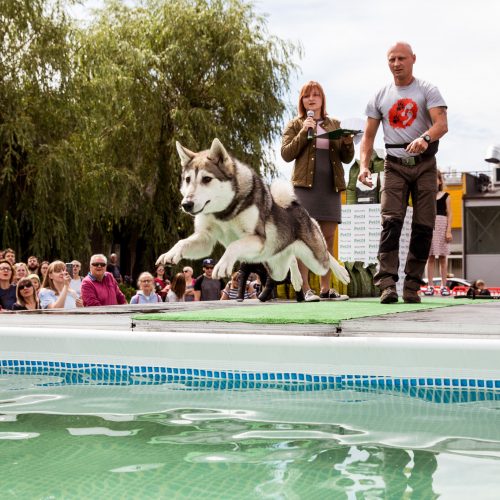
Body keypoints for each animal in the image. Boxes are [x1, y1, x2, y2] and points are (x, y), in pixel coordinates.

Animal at [158, 139, 350, 292]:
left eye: (206, 179)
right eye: (188, 179)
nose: (186, 204)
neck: (224, 212)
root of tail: (295, 204)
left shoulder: (257, 238)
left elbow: (233, 245)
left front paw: (223, 264)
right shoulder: (206, 238)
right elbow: (182, 242)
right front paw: (170, 253)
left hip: (317, 261)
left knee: (326, 255)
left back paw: (341, 272)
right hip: (277, 268)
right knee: (291, 258)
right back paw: (296, 278)